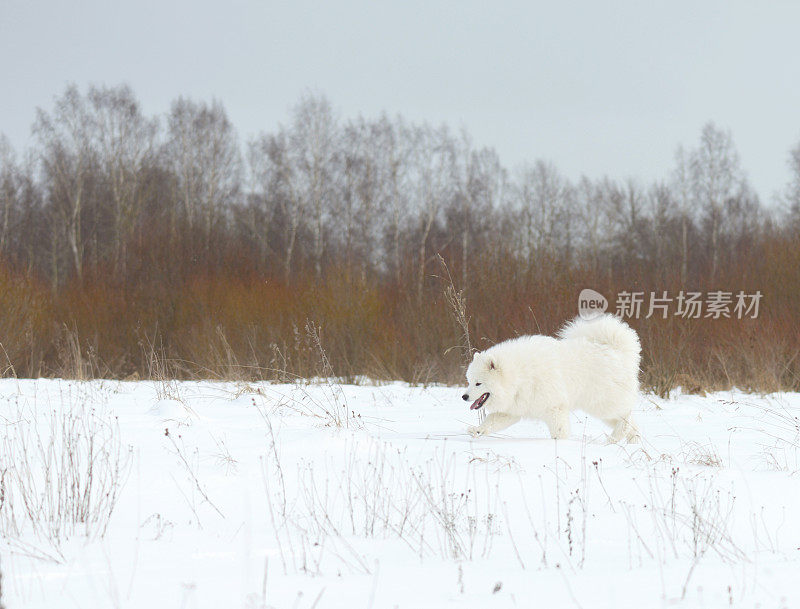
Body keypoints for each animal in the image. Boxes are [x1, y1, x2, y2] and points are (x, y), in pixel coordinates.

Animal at [460, 314, 640, 442]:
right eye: (469, 381)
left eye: (478, 383)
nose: (464, 396)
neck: (519, 376)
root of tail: (617, 350)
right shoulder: (513, 409)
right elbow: (491, 421)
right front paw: (476, 430)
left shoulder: (555, 408)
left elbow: (559, 432)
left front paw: (558, 443)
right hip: (601, 407)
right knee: (630, 421)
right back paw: (631, 441)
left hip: (602, 403)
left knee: (627, 415)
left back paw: (617, 436)